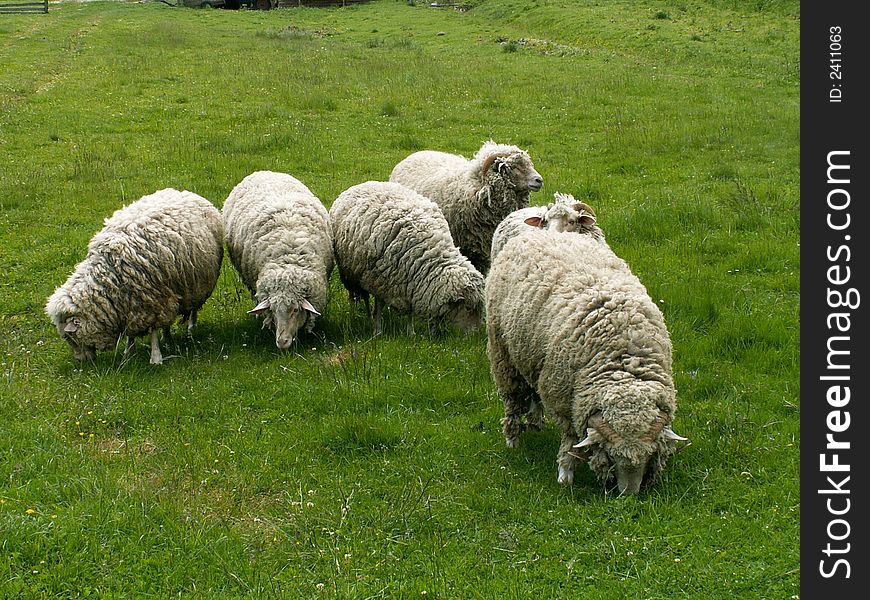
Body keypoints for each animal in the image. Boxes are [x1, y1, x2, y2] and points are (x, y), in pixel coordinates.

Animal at [45, 188, 225, 366]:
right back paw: (167, 338)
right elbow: (131, 330)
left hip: (196, 285)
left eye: (69, 337)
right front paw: (129, 351)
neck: (109, 278)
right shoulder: (132, 304)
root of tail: (186, 192)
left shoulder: (154, 301)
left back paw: (191, 326)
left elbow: (153, 331)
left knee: (193, 308)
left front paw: (155, 357)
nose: (81, 361)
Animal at [330, 180, 488, 336]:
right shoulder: (378, 279)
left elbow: (410, 309)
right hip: (352, 275)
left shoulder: (409, 282)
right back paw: (365, 316)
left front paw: (411, 332)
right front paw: (377, 330)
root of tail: (361, 184)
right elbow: (379, 305)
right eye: (468, 308)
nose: (476, 335)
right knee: (363, 297)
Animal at [488, 229, 684, 492]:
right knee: (512, 397)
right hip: (503, 352)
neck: (624, 361)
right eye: (613, 455)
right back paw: (513, 438)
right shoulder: (563, 397)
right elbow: (571, 439)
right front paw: (565, 473)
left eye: (649, 454)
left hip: (530, 355)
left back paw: (535, 422)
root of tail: (539, 232)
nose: (629, 495)